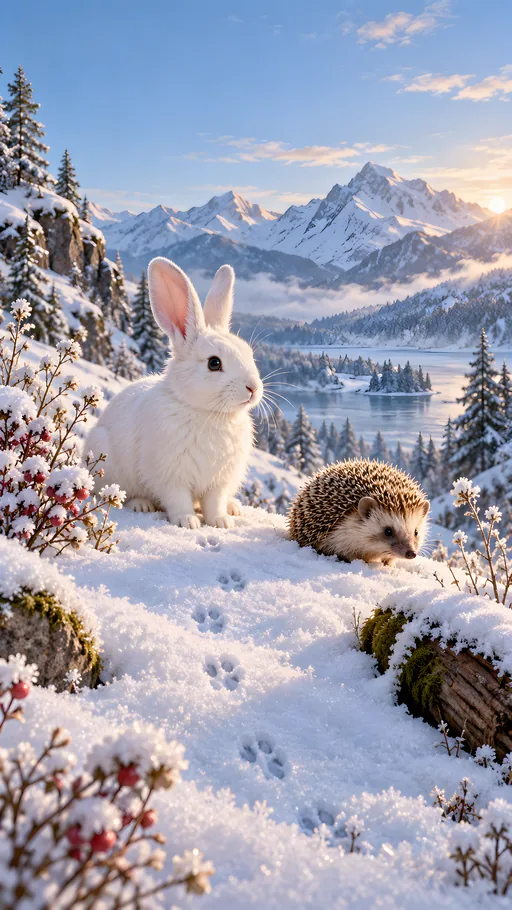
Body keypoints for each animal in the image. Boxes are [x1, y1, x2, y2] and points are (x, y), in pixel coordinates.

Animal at [85, 257, 263, 529]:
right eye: (214, 363)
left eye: (249, 355)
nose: (252, 388)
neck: (206, 413)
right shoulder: (169, 475)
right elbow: (177, 499)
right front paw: (187, 521)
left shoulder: (219, 481)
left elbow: (214, 502)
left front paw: (221, 521)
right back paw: (141, 504)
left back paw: (234, 508)